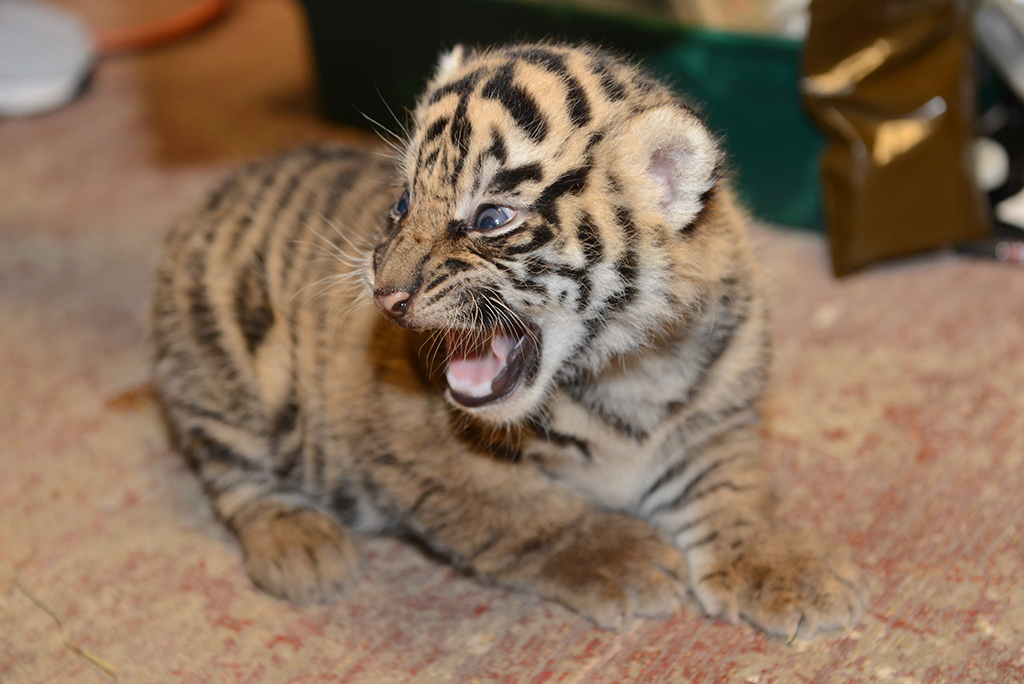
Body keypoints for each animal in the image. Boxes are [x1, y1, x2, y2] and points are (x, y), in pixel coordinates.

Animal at [151, 42, 868, 638]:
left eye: (492, 218)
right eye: (403, 204)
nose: (385, 294)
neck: (624, 368)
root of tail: (220, 191)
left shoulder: (719, 421)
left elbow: (734, 492)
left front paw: (785, 570)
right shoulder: (412, 437)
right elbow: (522, 511)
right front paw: (623, 558)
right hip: (222, 372)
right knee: (236, 476)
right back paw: (305, 549)